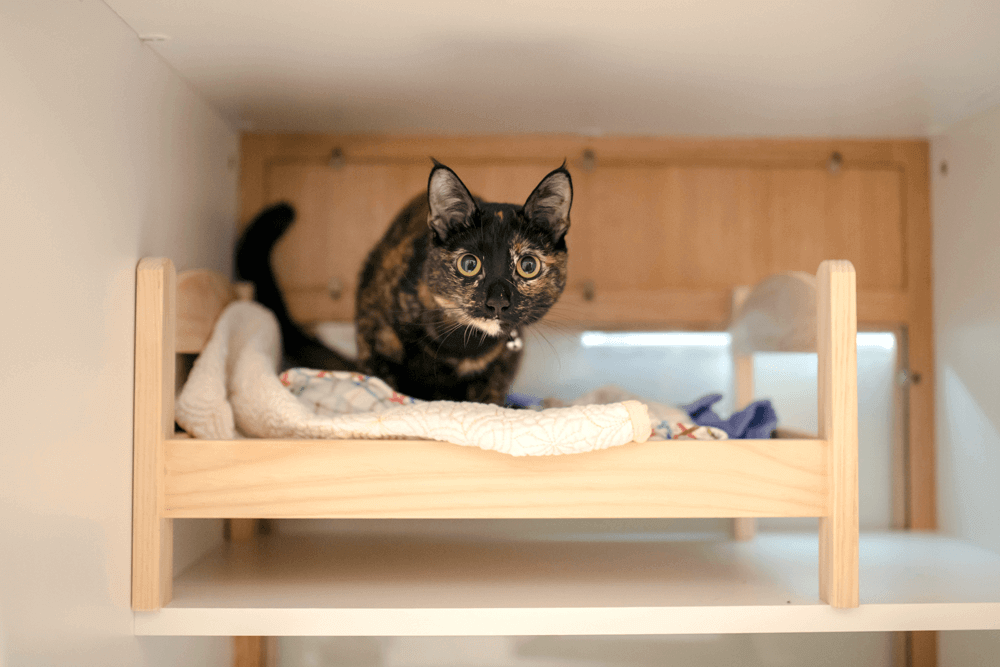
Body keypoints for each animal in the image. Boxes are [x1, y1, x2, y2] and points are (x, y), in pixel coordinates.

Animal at [233, 162, 572, 404]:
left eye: (528, 266)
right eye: (469, 264)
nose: (498, 301)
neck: (458, 347)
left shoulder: (503, 364)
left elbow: (490, 397)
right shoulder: (372, 335)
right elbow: (382, 384)